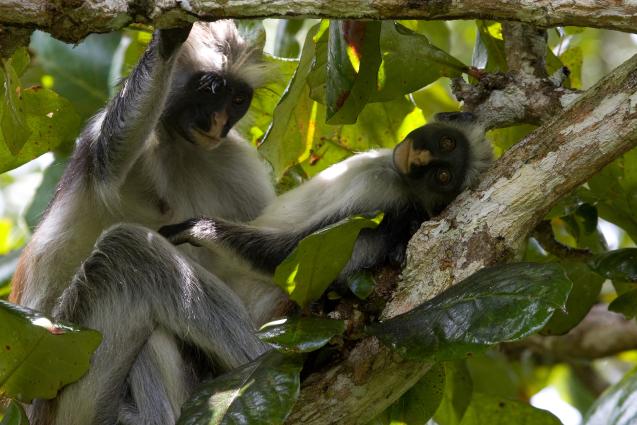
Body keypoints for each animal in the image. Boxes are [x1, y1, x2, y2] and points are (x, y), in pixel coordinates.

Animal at [9, 21, 284, 424]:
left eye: (237, 100)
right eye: (210, 89)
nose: (218, 123)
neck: (177, 144)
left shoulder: (234, 159)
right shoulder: (100, 138)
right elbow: (110, 155)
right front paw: (170, 36)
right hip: (68, 389)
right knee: (130, 252)